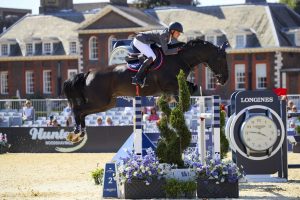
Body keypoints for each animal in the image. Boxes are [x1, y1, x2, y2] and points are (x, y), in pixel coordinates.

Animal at [62, 38, 227, 142]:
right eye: (220, 59)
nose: (224, 80)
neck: (179, 58)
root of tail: (88, 73)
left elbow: (190, 88)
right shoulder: (170, 84)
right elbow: (183, 96)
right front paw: (177, 109)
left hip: (107, 103)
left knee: (82, 112)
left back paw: (80, 133)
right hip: (99, 101)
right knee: (78, 109)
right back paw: (76, 132)